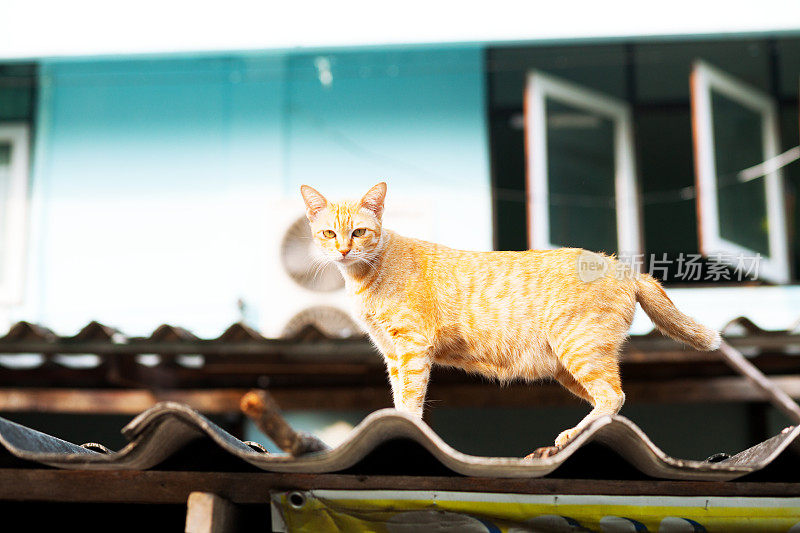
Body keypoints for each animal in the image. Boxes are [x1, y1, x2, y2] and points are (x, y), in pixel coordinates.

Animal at [302, 182, 724, 448]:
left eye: (359, 232)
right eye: (328, 234)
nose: (342, 250)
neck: (364, 277)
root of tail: (624, 267)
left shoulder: (412, 347)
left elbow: (410, 397)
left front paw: (407, 423)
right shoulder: (392, 354)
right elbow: (397, 395)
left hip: (580, 348)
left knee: (613, 396)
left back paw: (572, 435)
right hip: (569, 367)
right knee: (608, 401)